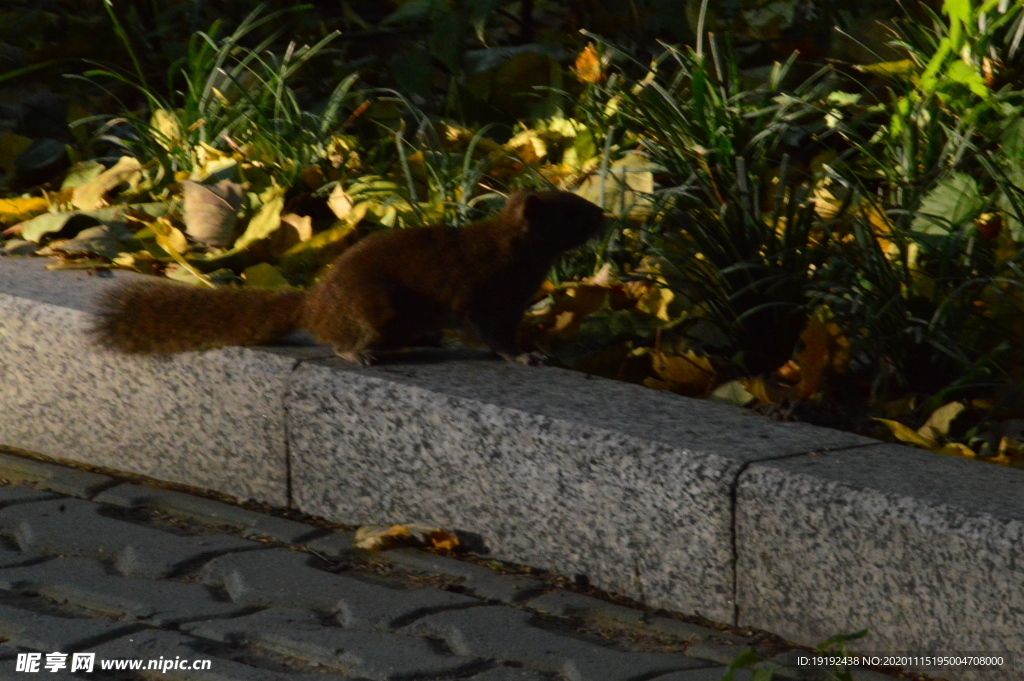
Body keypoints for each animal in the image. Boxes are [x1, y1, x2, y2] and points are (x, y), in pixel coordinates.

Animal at [92, 188, 602, 364]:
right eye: (570, 212)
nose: (604, 215)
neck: (510, 249)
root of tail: (314, 304)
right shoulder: (485, 297)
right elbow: (492, 337)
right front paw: (525, 357)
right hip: (374, 307)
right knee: (343, 340)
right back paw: (360, 353)